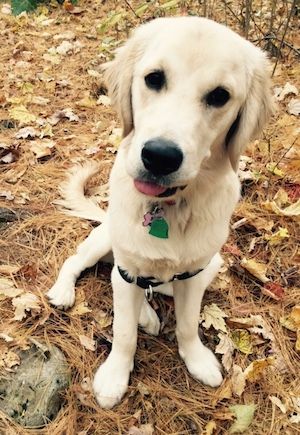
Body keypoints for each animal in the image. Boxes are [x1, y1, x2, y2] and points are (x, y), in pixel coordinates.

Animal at [46, 17, 272, 410]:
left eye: (219, 96)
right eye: (154, 78)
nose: (160, 157)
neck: (169, 208)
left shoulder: (194, 274)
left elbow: (187, 323)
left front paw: (196, 358)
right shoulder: (127, 266)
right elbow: (122, 332)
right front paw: (114, 376)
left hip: (212, 264)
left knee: (148, 287)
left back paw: (148, 314)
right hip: (105, 239)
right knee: (78, 262)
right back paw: (65, 291)